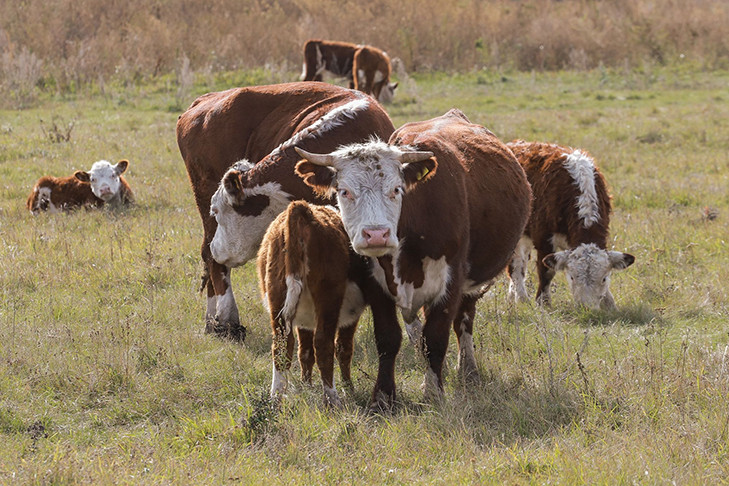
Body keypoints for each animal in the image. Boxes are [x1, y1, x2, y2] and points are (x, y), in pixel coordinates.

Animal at [175, 81, 392, 342]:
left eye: (217, 210)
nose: (218, 249)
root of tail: (203, 101)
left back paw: (213, 321)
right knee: (212, 262)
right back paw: (226, 321)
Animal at [258, 200, 370, 406]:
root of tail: (302, 209)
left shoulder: (304, 321)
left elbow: (305, 352)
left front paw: (306, 385)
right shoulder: (352, 315)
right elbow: (344, 349)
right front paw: (349, 388)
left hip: (278, 298)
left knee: (282, 346)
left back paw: (276, 398)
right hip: (328, 300)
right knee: (324, 344)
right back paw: (332, 398)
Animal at [294, 109, 528, 406]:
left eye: (396, 189)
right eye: (344, 191)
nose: (376, 234)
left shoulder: (450, 282)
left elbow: (437, 336)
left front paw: (433, 392)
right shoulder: (376, 284)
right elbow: (388, 338)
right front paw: (383, 396)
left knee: (464, 321)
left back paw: (468, 369)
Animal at [504, 140, 636, 312]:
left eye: (604, 278)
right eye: (572, 277)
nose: (587, 308)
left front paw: (610, 304)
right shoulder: (544, 239)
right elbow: (546, 272)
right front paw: (543, 303)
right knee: (516, 266)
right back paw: (521, 298)